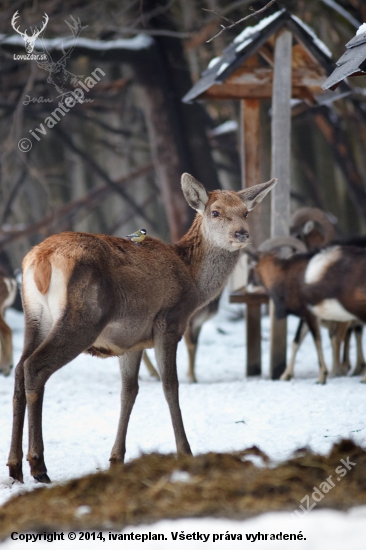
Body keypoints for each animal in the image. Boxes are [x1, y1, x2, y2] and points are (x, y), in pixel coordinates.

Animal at [7, 175, 276, 486]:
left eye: (245, 212)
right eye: (215, 212)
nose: (242, 233)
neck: (194, 282)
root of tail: (40, 261)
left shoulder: (130, 342)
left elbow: (129, 391)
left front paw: (116, 458)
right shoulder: (169, 322)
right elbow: (170, 385)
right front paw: (185, 451)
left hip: (35, 318)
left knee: (19, 368)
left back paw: (14, 467)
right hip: (82, 319)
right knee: (35, 367)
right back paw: (38, 465)